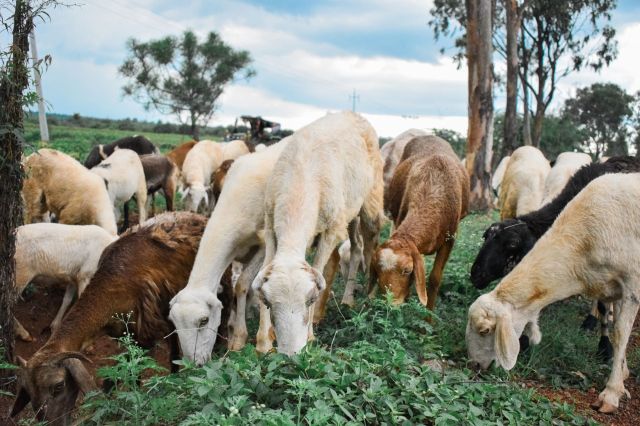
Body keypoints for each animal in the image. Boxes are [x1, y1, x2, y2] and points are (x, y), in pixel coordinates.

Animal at [9, 212, 231, 425]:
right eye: (28, 393)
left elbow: (127, 372)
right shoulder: (125, 333)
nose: (50, 422)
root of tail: (198, 216)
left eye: (58, 386)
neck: (112, 287)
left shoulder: (145, 334)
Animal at [169, 139, 293, 364]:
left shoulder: (262, 246)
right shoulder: (234, 251)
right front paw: (234, 330)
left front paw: (248, 339)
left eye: (204, 320)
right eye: (173, 323)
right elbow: (237, 287)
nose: (193, 365)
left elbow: (243, 285)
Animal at [251, 111, 385, 355]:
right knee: (357, 248)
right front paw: (263, 343)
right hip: (349, 212)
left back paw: (360, 297)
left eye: (310, 300)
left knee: (369, 244)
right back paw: (347, 300)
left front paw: (311, 336)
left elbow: (320, 268)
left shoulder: (331, 231)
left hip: (369, 204)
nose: (291, 356)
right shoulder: (270, 226)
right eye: (269, 303)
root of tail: (353, 113)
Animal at [370, 135, 469, 310]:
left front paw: (428, 315)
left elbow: (434, 279)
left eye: (407, 270)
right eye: (377, 268)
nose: (388, 305)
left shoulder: (450, 239)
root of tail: (430, 135)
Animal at [466, 172, 640, 414]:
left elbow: (620, 334)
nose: (473, 365)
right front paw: (622, 375)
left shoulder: (632, 285)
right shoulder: (611, 288)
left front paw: (612, 393)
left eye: (485, 330)